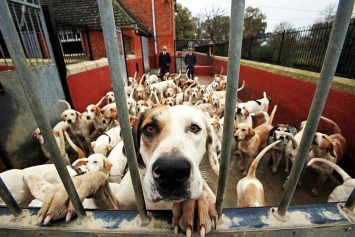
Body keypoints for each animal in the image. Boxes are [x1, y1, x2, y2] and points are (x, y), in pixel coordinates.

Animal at [36, 105, 220, 237]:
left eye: (194, 128)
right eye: (150, 128)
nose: (171, 171)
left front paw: (196, 202)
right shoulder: (117, 207)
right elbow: (100, 177)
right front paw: (69, 190)